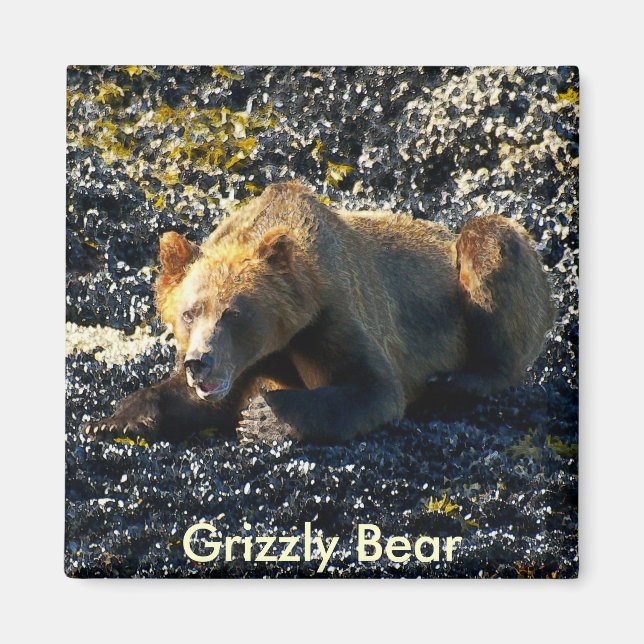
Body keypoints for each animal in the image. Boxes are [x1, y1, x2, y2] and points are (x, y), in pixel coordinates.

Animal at [84, 181, 554, 445]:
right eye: (189, 313)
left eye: (234, 313)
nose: (200, 362)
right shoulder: (245, 363)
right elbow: (194, 401)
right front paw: (114, 420)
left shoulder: (333, 315)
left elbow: (373, 388)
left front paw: (264, 418)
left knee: (489, 242)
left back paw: (456, 381)